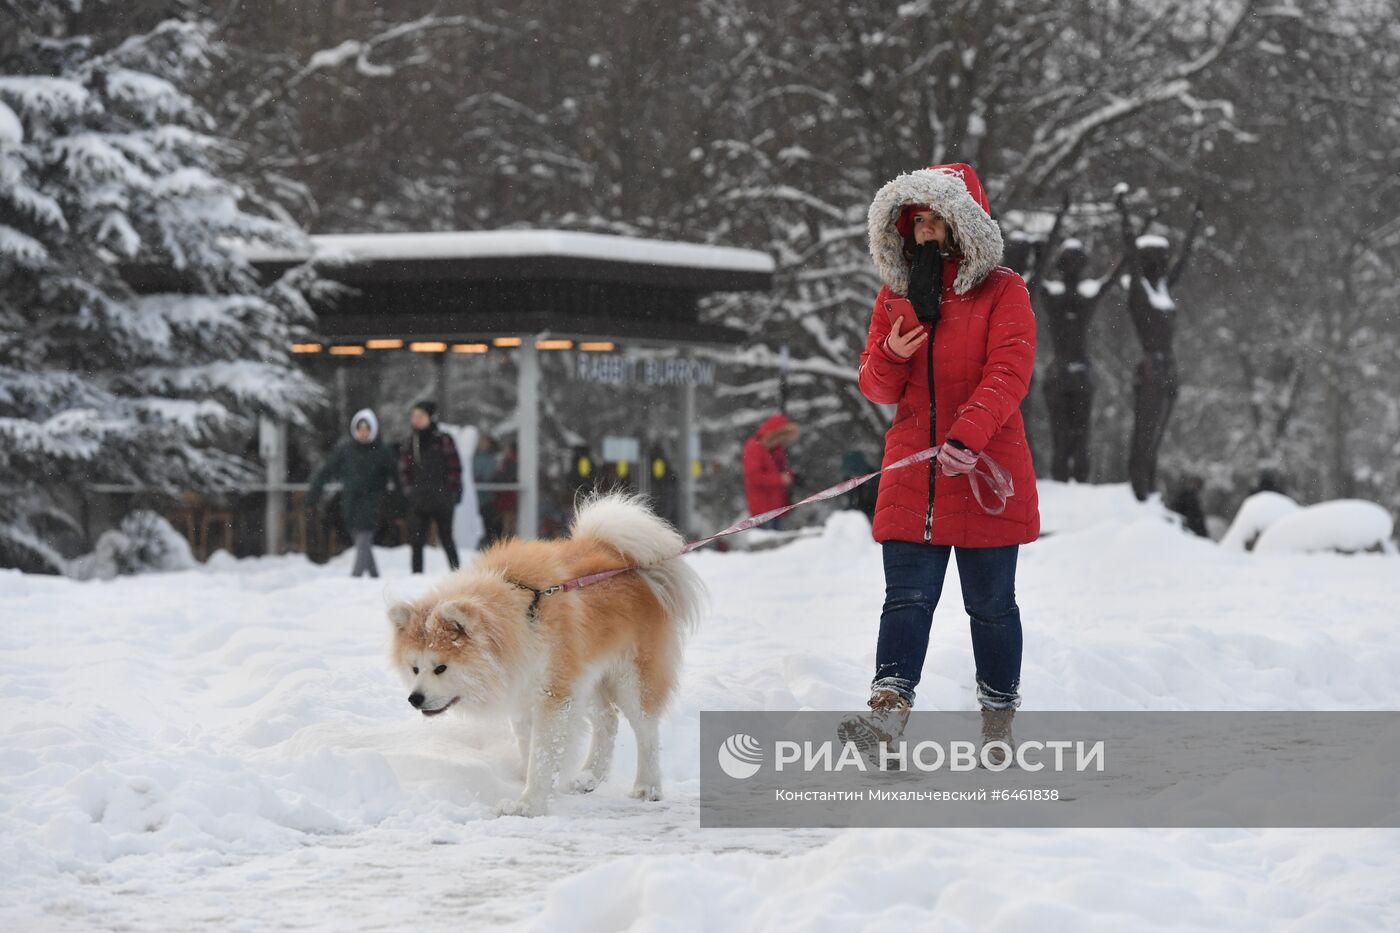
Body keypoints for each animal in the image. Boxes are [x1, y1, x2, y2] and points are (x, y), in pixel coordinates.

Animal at [386, 493, 705, 812]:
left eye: (440, 668)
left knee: (646, 730)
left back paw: (647, 786)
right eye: (414, 668)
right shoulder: (525, 692)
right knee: (608, 721)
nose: (415, 698)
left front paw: (530, 804)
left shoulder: (554, 696)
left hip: (631, 678)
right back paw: (589, 777)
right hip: (587, 678)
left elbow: (541, 753)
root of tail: (632, 562)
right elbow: (531, 749)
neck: (523, 616)